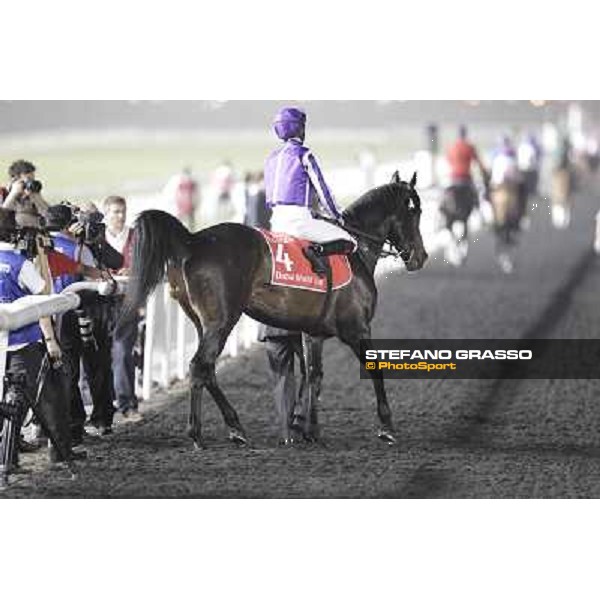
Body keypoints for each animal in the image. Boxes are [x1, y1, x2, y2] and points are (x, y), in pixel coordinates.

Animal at [124, 171, 428, 448]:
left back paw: (235, 427)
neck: (356, 250)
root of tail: (193, 240)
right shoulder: (357, 328)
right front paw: (386, 426)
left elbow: (314, 375)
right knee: (200, 366)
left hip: (203, 323)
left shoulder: (313, 334)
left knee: (207, 369)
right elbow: (374, 369)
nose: (421, 256)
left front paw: (308, 428)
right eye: (415, 211)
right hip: (222, 321)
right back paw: (197, 433)